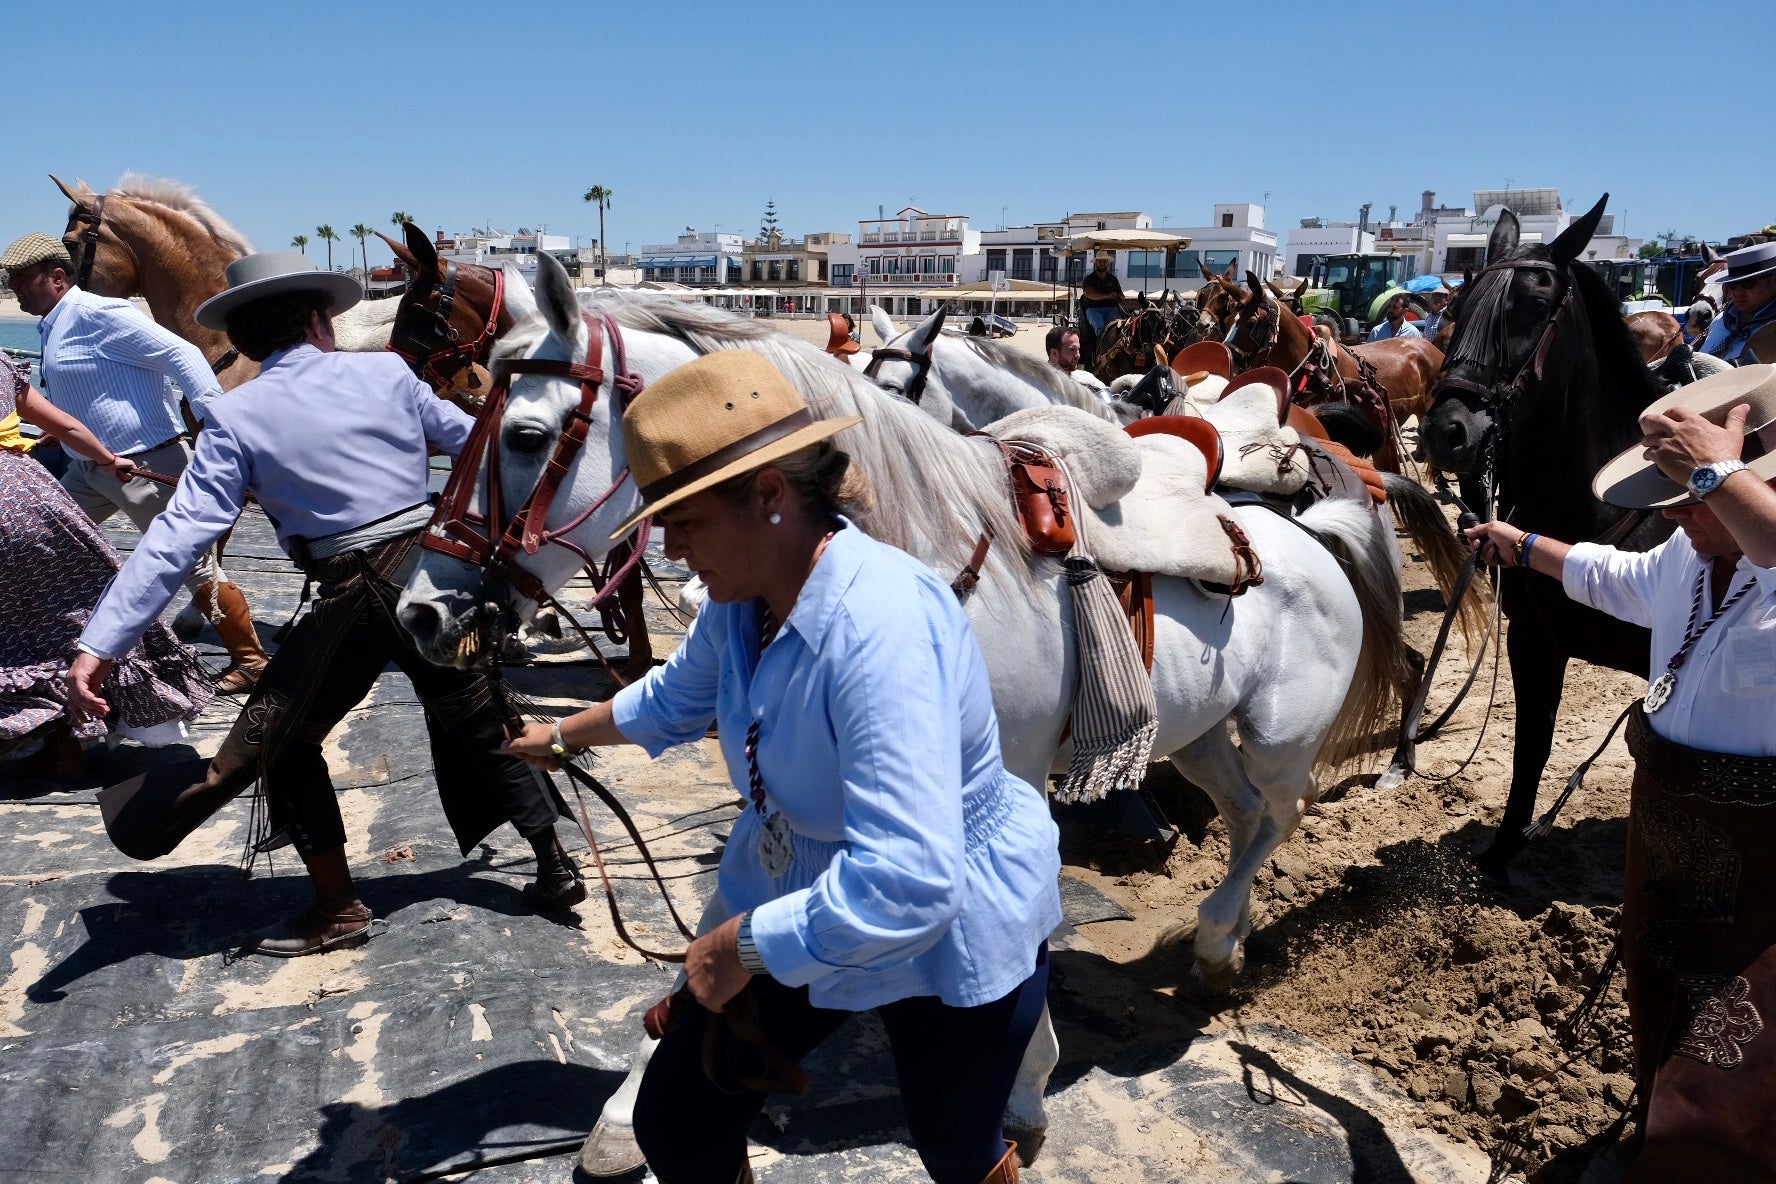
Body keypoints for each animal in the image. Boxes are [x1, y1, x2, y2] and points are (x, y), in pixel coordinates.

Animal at [396, 250, 1406, 1164]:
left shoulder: (997, 785)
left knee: (1279, 813)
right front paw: (622, 1114)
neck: (923, 556)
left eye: (527, 437)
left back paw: (1217, 941)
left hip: (1278, 736)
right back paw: (1220, 944)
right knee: (1242, 816)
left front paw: (1023, 1086)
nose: (421, 610)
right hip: (1195, 739)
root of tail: (1312, 533)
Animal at [1413, 194, 1676, 880]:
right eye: (1457, 308)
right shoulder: (1536, 642)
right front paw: (1501, 854)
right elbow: (1530, 747)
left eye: (1534, 306)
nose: (1447, 432)